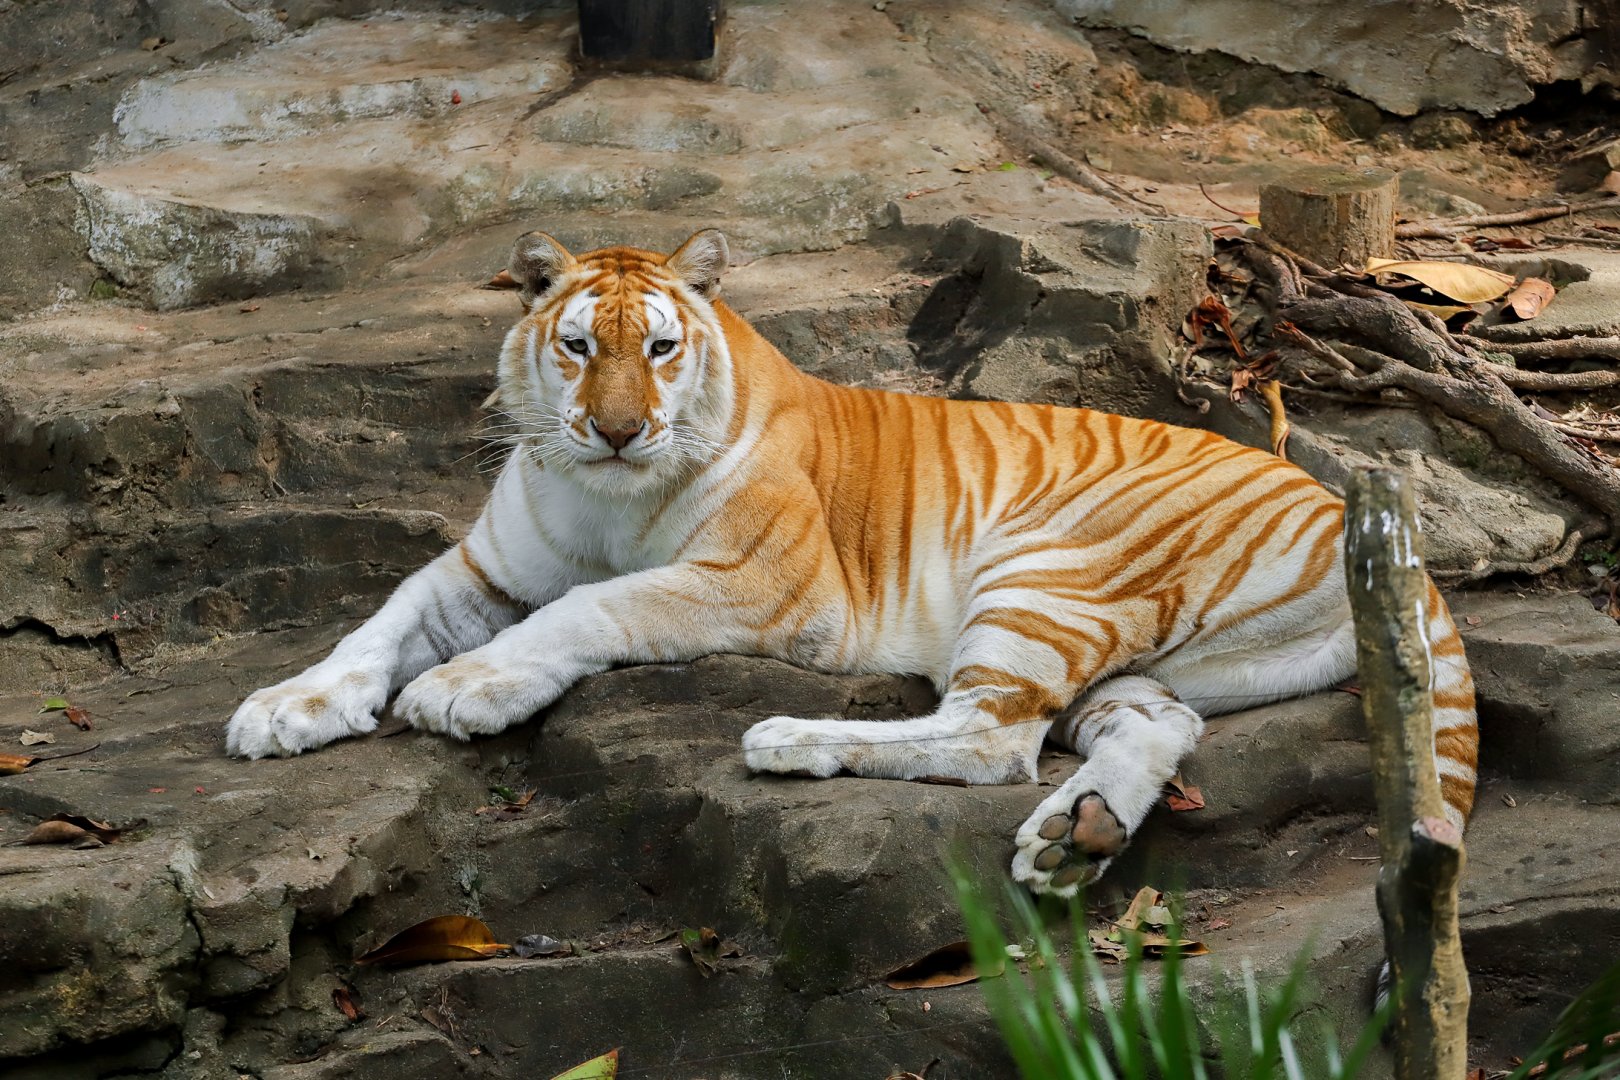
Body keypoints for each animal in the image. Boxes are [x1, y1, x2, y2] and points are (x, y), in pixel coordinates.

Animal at [225, 227, 1478, 894]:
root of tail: (1355, 510)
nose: (620, 430)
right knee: (1145, 726)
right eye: (578, 347)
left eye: (662, 350)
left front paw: (468, 689)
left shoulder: (761, 585)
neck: (605, 491)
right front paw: (284, 709)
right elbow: (383, 618)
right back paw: (1073, 843)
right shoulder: (486, 569)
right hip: (1128, 657)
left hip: (1046, 570)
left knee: (986, 739)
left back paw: (789, 741)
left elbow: (589, 611)